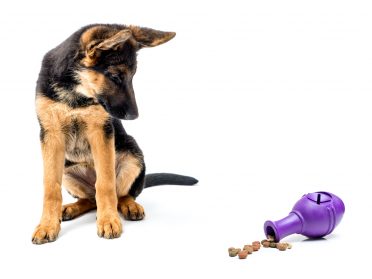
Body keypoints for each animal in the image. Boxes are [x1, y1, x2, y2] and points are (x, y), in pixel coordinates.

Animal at [32, 24, 198, 245]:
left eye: (132, 76)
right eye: (115, 77)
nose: (135, 116)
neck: (75, 93)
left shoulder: (101, 131)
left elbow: (106, 183)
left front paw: (108, 220)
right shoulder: (51, 135)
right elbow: (51, 187)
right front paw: (47, 225)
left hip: (133, 155)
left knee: (121, 194)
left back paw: (129, 206)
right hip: (66, 169)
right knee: (90, 198)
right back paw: (71, 208)